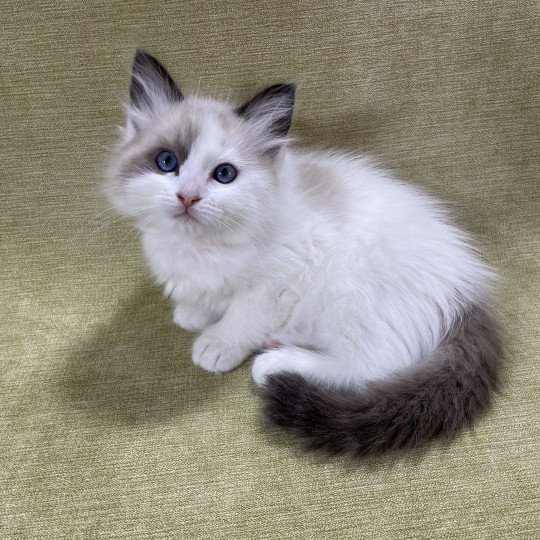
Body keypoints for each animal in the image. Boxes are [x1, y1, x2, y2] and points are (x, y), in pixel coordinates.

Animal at [105, 50, 502, 456]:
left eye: (224, 174)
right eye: (167, 162)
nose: (188, 197)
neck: (200, 245)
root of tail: (468, 291)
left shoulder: (283, 276)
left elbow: (244, 315)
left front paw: (217, 343)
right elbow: (207, 296)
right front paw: (194, 313)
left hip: (349, 292)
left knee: (373, 367)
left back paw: (275, 363)